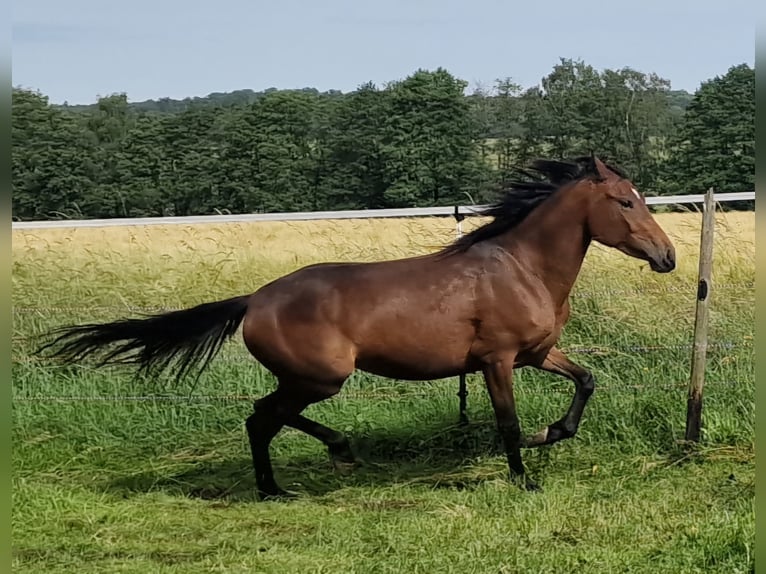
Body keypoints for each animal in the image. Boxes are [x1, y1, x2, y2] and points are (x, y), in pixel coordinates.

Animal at [39, 156, 680, 500]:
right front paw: (525, 476)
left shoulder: (538, 353)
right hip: (321, 376)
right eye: (625, 201)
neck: (521, 269)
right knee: (264, 416)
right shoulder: (497, 361)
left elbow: (586, 382)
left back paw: (279, 485)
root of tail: (254, 299)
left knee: (263, 417)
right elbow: (506, 422)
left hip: (310, 378)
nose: (668, 257)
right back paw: (325, 459)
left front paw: (550, 435)